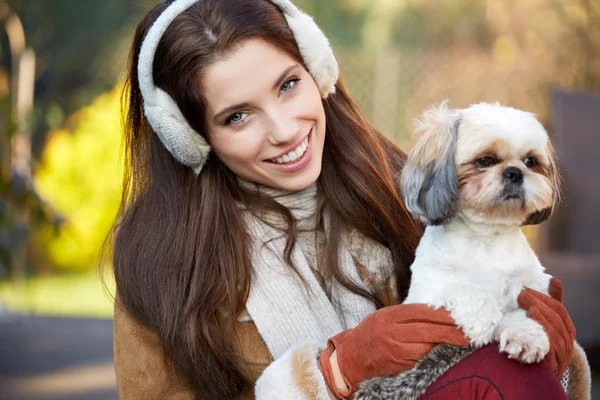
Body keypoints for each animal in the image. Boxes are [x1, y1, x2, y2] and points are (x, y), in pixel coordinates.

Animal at [354, 101, 560, 398]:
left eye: (531, 161)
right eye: (485, 160)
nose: (515, 172)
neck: (485, 238)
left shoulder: (532, 286)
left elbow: (520, 308)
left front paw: (526, 335)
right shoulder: (427, 292)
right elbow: (463, 289)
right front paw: (484, 319)